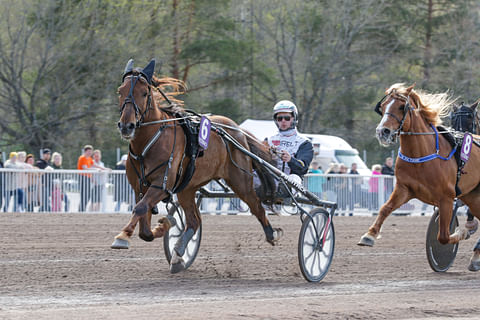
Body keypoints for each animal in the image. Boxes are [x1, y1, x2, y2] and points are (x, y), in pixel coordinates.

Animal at [110, 59, 284, 272]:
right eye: (120, 91)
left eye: (144, 93)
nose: (127, 126)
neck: (149, 142)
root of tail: (237, 130)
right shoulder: (139, 187)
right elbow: (144, 227)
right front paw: (164, 225)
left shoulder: (161, 185)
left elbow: (140, 209)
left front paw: (123, 236)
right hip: (188, 188)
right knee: (194, 221)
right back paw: (178, 255)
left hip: (241, 181)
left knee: (257, 206)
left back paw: (272, 233)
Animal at [356, 82, 480, 270]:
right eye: (382, 107)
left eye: (402, 107)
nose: (382, 132)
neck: (421, 154)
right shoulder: (404, 189)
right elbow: (385, 208)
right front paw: (369, 235)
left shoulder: (446, 198)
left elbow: (443, 236)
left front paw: (462, 232)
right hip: (472, 196)